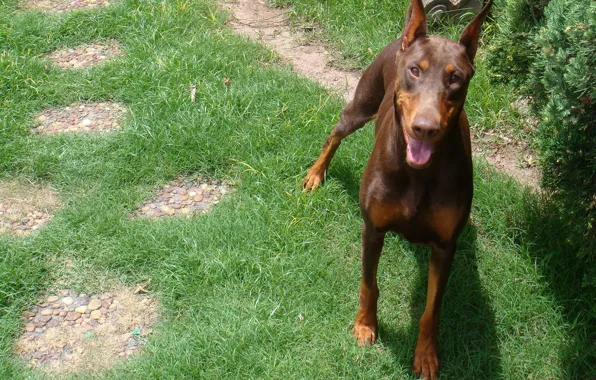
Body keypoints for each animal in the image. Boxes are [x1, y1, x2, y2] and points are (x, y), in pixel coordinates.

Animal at [302, 1, 494, 378]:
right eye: (415, 71)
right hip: (362, 102)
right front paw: (365, 326)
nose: (425, 128)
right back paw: (316, 174)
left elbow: (432, 310)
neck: (418, 173)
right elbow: (369, 284)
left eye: (455, 78)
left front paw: (426, 355)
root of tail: (401, 38)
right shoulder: (373, 228)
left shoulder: (444, 246)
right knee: (334, 133)